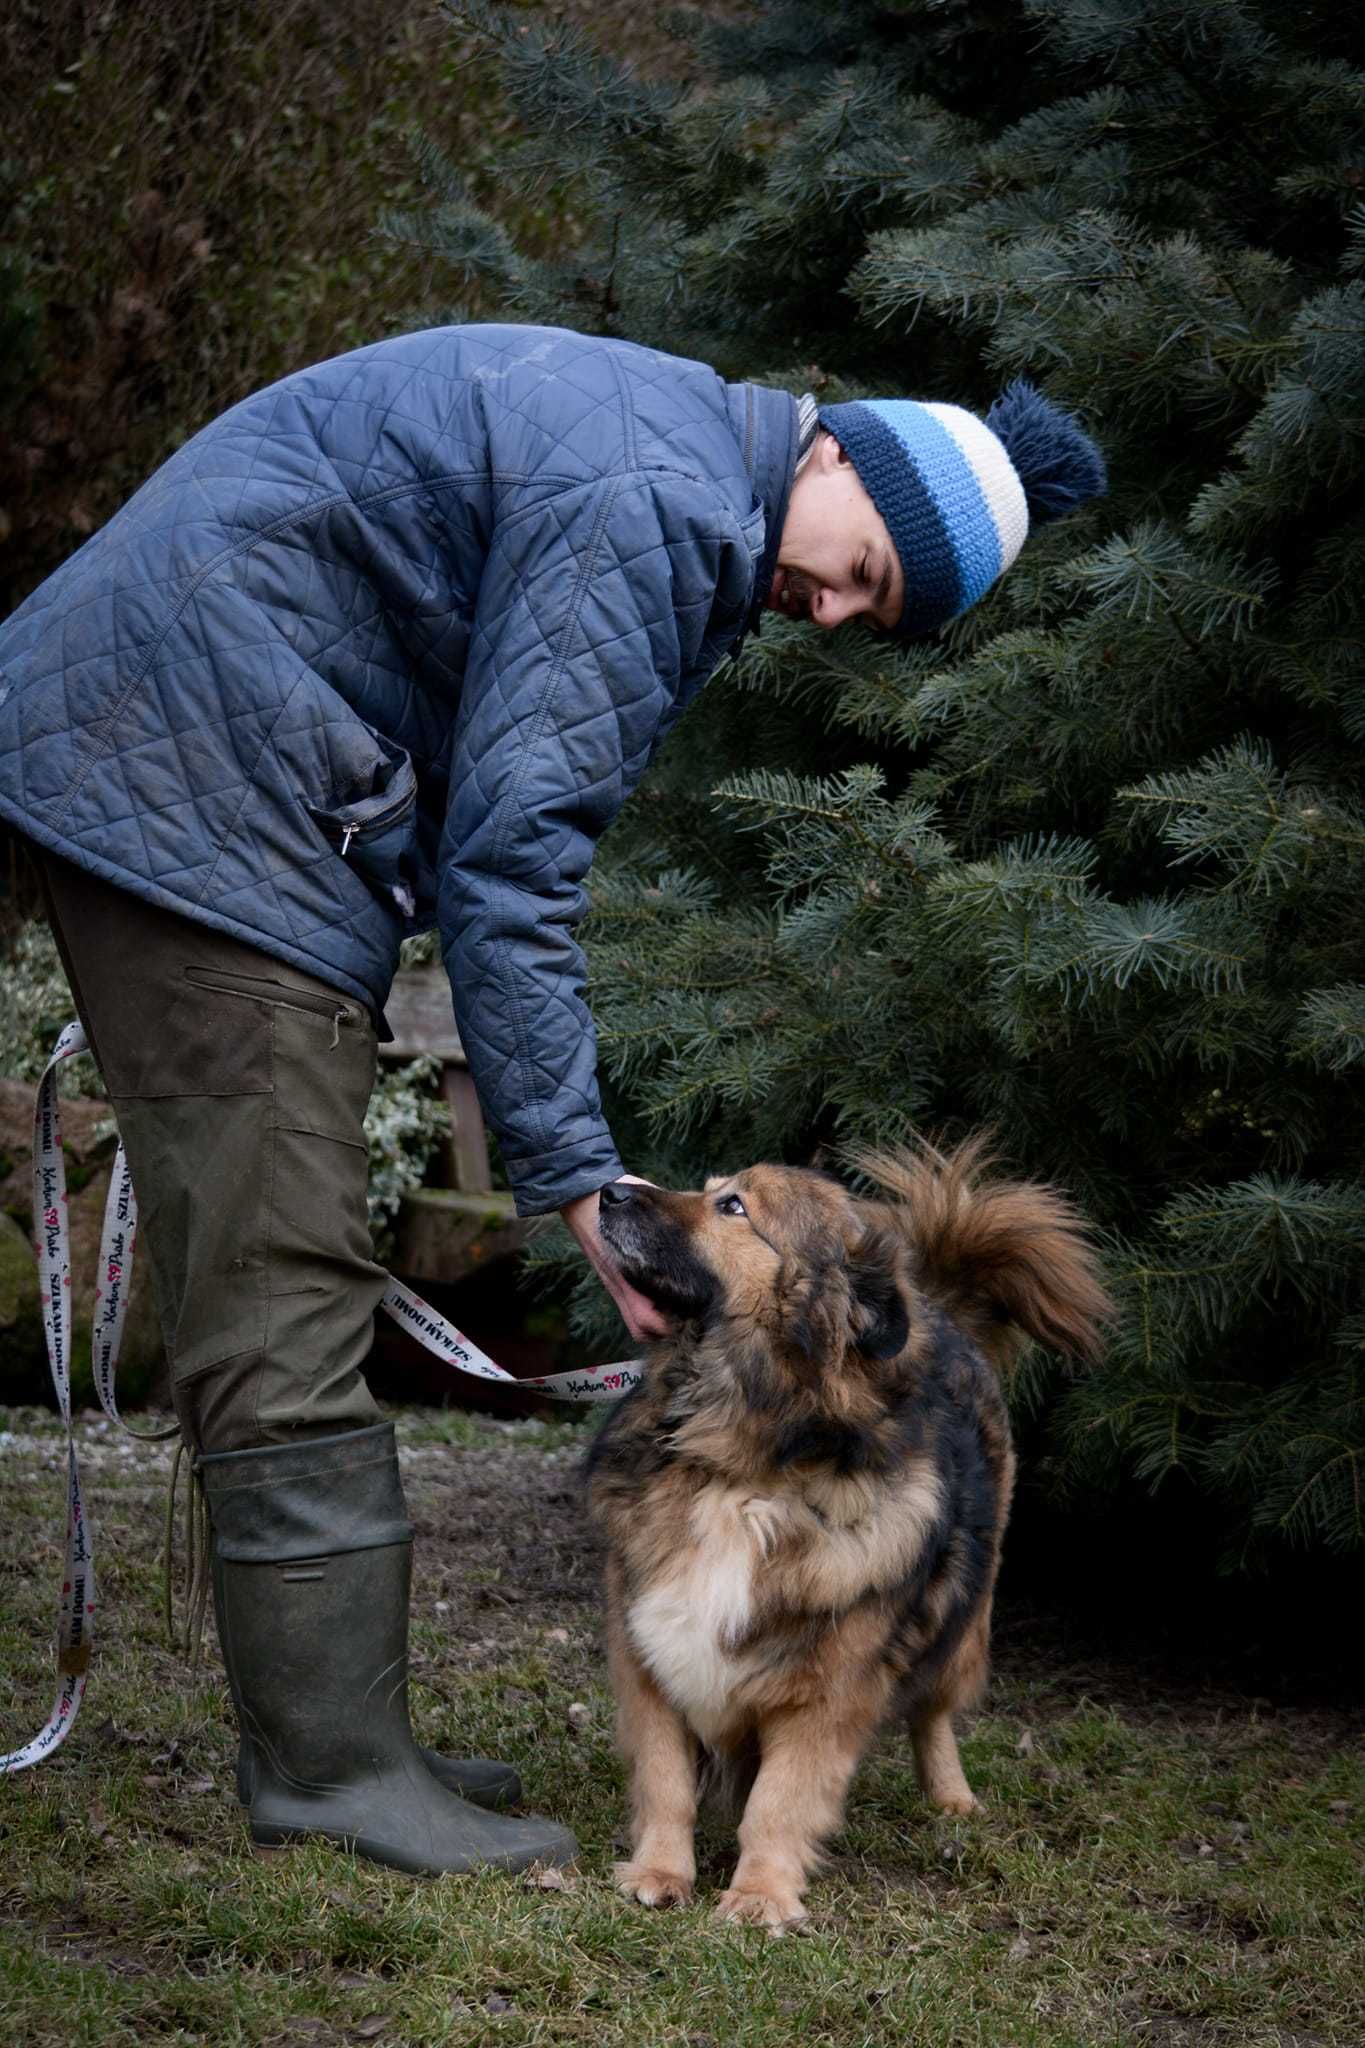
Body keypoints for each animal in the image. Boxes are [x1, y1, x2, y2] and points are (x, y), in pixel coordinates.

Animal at [589, 1146, 1113, 1925]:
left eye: (733, 1206)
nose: (609, 1192)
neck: (738, 1464)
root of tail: (937, 1307)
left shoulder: (829, 1690)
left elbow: (778, 1802)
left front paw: (760, 1893)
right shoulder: (649, 1653)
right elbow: (666, 1781)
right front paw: (659, 1871)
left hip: (964, 1622)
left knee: (933, 1714)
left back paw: (951, 1797)